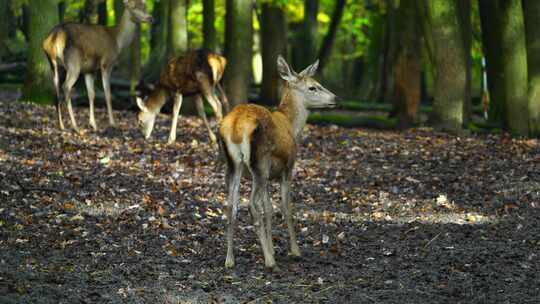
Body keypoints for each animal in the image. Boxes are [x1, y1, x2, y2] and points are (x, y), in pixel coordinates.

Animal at [41, 0, 152, 133]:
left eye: (145, 5)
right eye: (134, 7)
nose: (151, 18)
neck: (117, 42)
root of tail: (52, 39)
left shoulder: (89, 70)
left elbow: (91, 94)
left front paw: (93, 124)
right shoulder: (106, 63)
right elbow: (107, 93)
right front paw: (113, 123)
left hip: (54, 64)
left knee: (55, 89)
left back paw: (61, 125)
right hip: (73, 63)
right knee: (66, 87)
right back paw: (75, 126)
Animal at [217, 55, 336, 268]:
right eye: (313, 87)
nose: (334, 98)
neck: (292, 125)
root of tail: (236, 126)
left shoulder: (270, 174)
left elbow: (269, 209)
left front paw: (272, 248)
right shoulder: (288, 167)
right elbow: (285, 207)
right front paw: (294, 251)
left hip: (233, 165)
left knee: (231, 205)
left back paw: (230, 260)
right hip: (259, 162)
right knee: (251, 206)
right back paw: (270, 262)